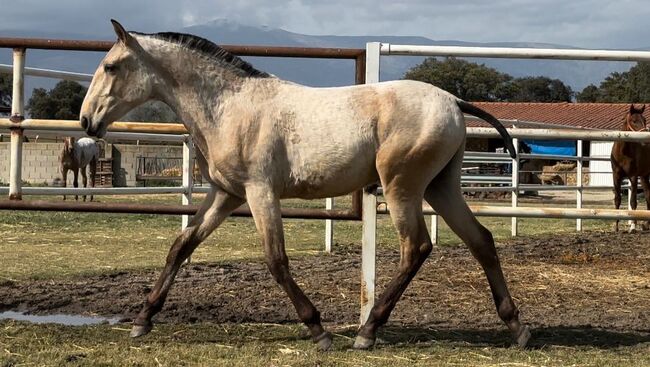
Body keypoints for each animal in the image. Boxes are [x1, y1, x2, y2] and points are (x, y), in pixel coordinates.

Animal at [78, 20, 528, 350]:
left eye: (111, 66)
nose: (86, 121)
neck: (230, 107)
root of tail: (453, 101)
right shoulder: (226, 194)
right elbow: (181, 246)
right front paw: (142, 320)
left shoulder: (260, 193)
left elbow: (276, 260)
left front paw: (319, 331)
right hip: (440, 188)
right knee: (481, 239)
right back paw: (516, 327)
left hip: (402, 187)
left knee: (416, 247)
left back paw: (367, 332)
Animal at [608, 103, 648, 231]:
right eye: (634, 121)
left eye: (645, 120)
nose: (646, 138)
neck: (623, 152)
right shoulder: (616, 176)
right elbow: (617, 200)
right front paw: (616, 226)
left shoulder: (633, 176)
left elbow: (633, 201)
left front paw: (633, 227)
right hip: (645, 176)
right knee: (648, 195)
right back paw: (646, 224)